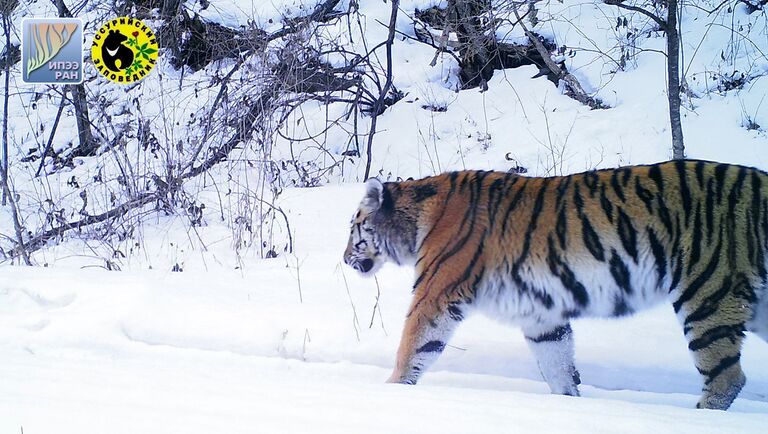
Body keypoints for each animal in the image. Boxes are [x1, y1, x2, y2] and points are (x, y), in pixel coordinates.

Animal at [344, 160, 768, 410]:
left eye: (353, 229)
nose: (345, 260)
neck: (415, 222)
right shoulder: (540, 313)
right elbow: (558, 363)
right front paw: (568, 404)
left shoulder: (437, 292)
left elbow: (413, 346)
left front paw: (391, 390)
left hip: (708, 293)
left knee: (728, 377)